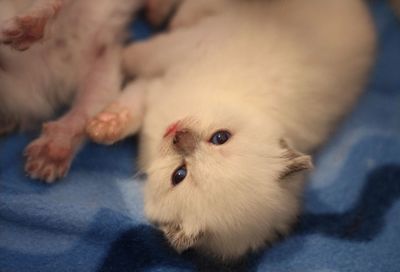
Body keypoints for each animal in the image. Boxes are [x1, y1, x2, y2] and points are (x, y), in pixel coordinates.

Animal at [86, 0, 376, 260]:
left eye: (179, 174)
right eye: (220, 137)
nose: (178, 135)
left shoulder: (160, 85)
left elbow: (139, 76)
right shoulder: (187, 50)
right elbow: (143, 64)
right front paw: (103, 126)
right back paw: (162, 15)